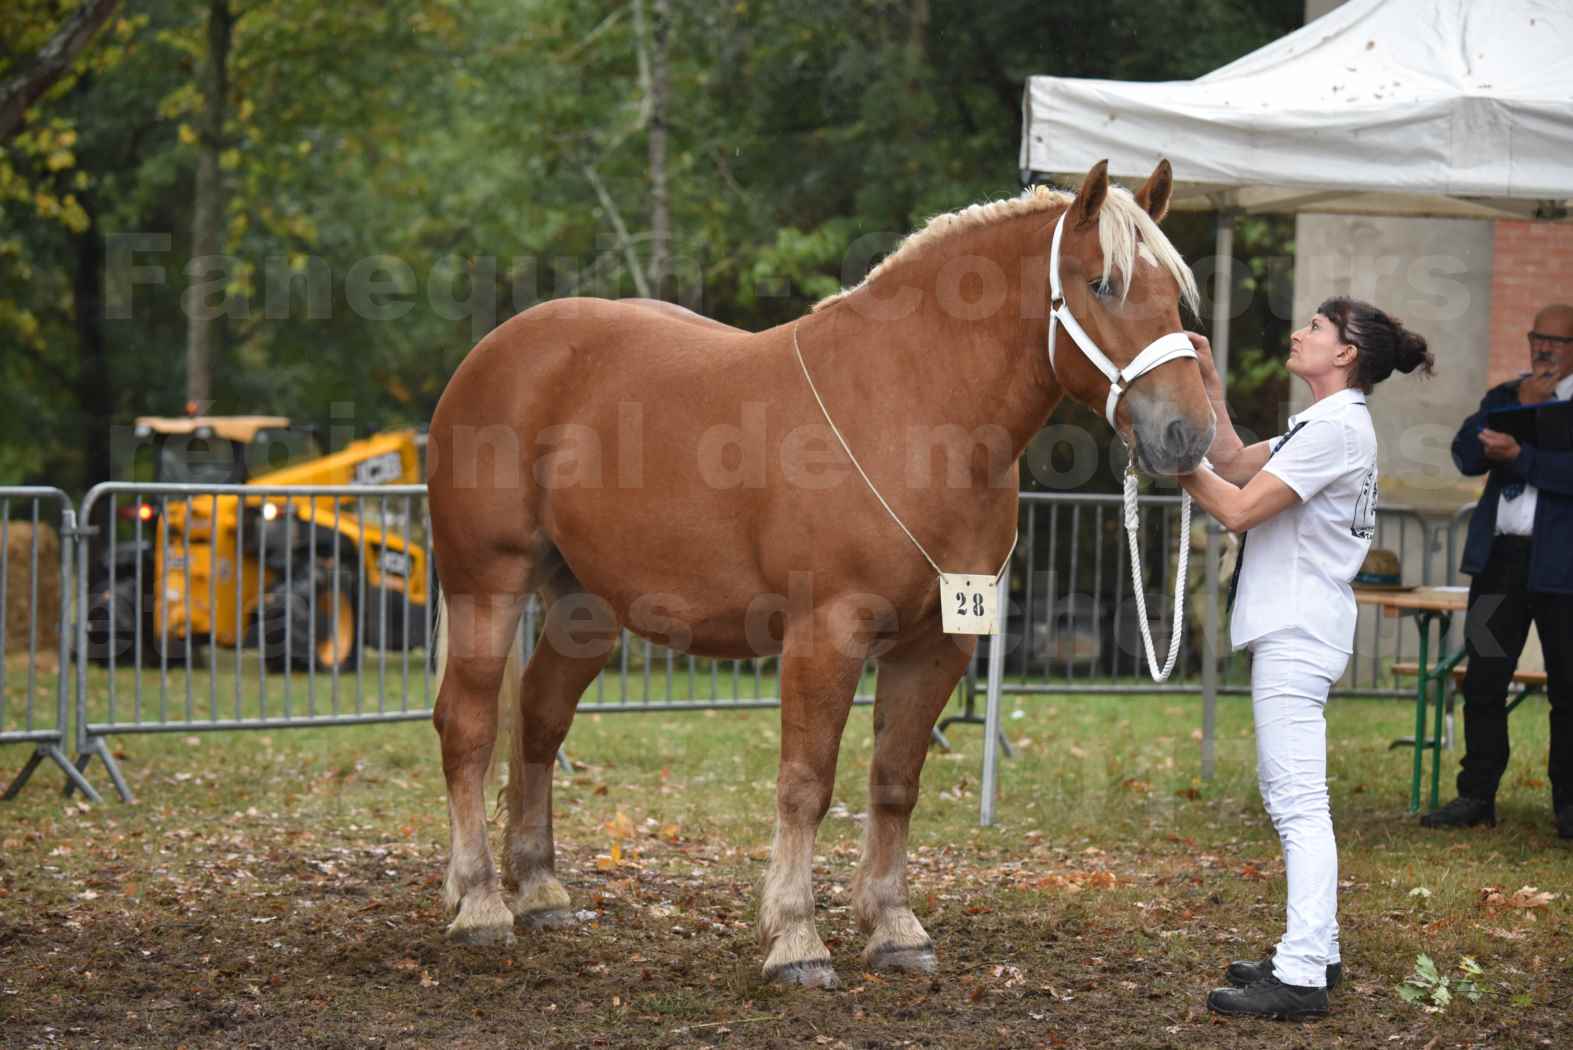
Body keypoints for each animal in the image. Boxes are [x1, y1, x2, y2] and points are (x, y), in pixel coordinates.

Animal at [424, 157, 1208, 987]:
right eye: (1101, 284)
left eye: (1172, 291)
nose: (1186, 433)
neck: (914, 410)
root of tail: (498, 350)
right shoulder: (823, 636)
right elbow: (805, 785)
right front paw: (796, 939)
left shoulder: (937, 645)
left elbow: (894, 782)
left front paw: (894, 928)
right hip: (487, 585)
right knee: (468, 727)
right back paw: (481, 903)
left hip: (585, 609)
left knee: (538, 719)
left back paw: (539, 889)